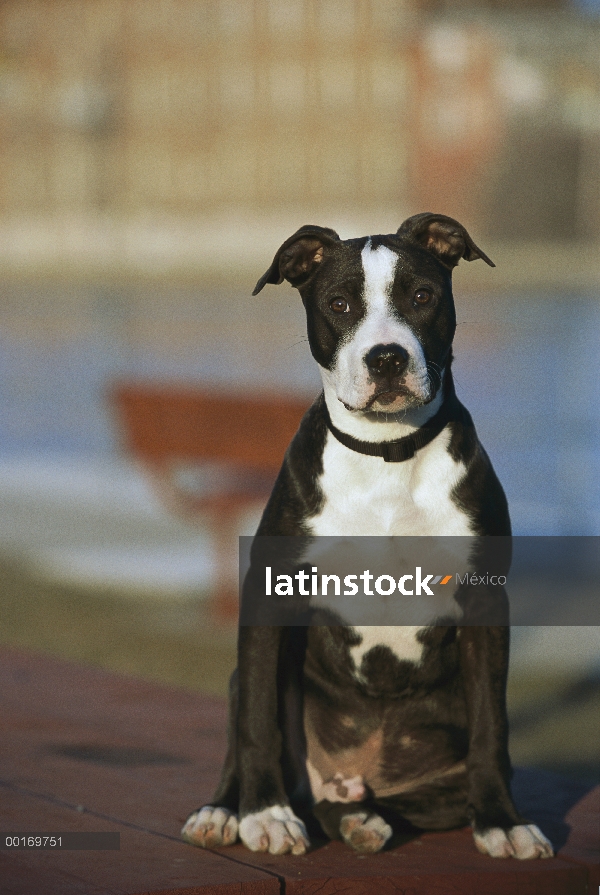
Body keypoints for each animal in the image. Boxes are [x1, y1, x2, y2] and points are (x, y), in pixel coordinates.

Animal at [182, 215, 552, 860]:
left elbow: (493, 725)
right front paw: (264, 814)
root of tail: (354, 775)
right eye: (339, 304)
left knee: (401, 803)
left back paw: (364, 817)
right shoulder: (268, 593)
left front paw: (502, 821)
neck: (386, 452)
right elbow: (257, 718)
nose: (386, 358)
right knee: (247, 713)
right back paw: (227, 808)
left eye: (423, 296)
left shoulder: (486, 602)